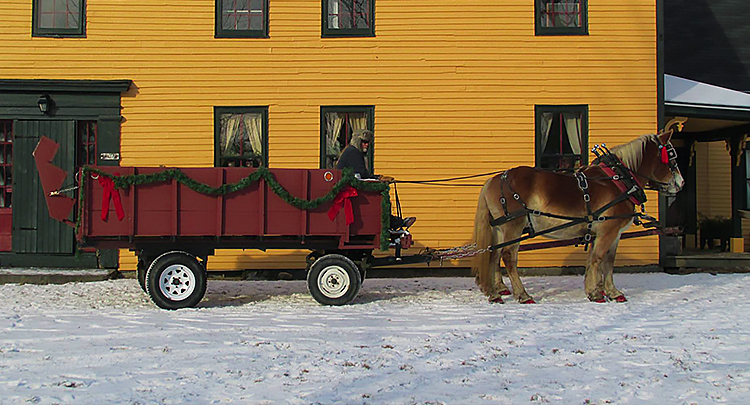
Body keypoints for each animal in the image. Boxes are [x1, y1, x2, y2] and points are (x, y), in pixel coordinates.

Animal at [476, 131, 688, 302]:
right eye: (671, 157)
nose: (682, 183)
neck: (618, 180)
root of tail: (496, 178)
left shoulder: (608, 232)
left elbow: (605, 261)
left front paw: (607, 291)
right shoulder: (608, 231)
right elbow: (599, 259)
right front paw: (597, 293)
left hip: (500, 228)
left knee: (494, 255)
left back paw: (494, 292)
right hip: (514, 225)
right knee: (508, 257)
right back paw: (522, 294)